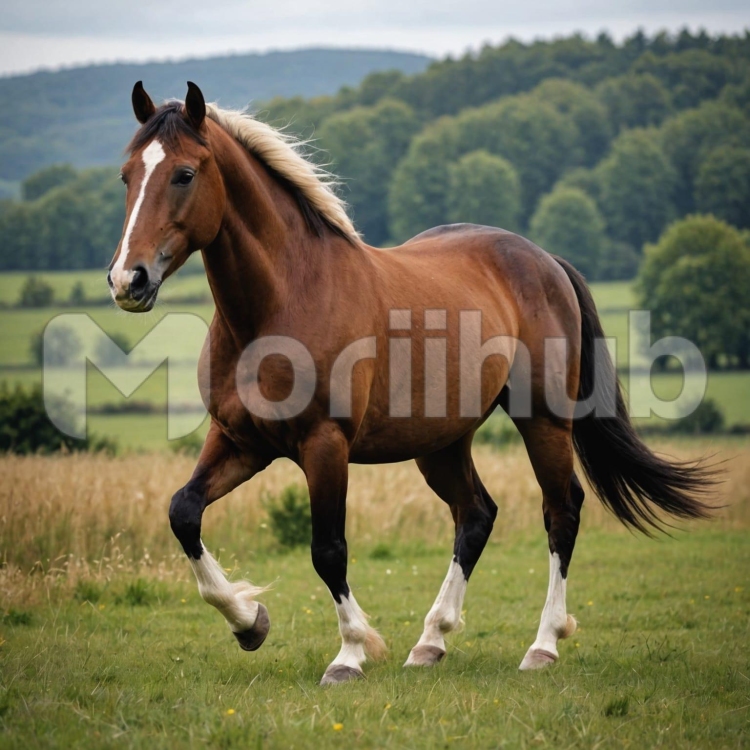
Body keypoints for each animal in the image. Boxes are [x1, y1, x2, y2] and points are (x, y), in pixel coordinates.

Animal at [107, 81, 713, 685]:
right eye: (127, 174)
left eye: (185, 174)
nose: (126, 280)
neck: (284, 300)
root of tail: (544, 260)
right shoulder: (241, 442)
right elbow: (183, 512)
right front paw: (249, 621)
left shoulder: (324, 445)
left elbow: (328, 549)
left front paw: (349, 653)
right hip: (441, 442)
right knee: (476, 515)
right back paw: (431, 640)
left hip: (543, 421)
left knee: (560, 512)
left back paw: (542, 646)